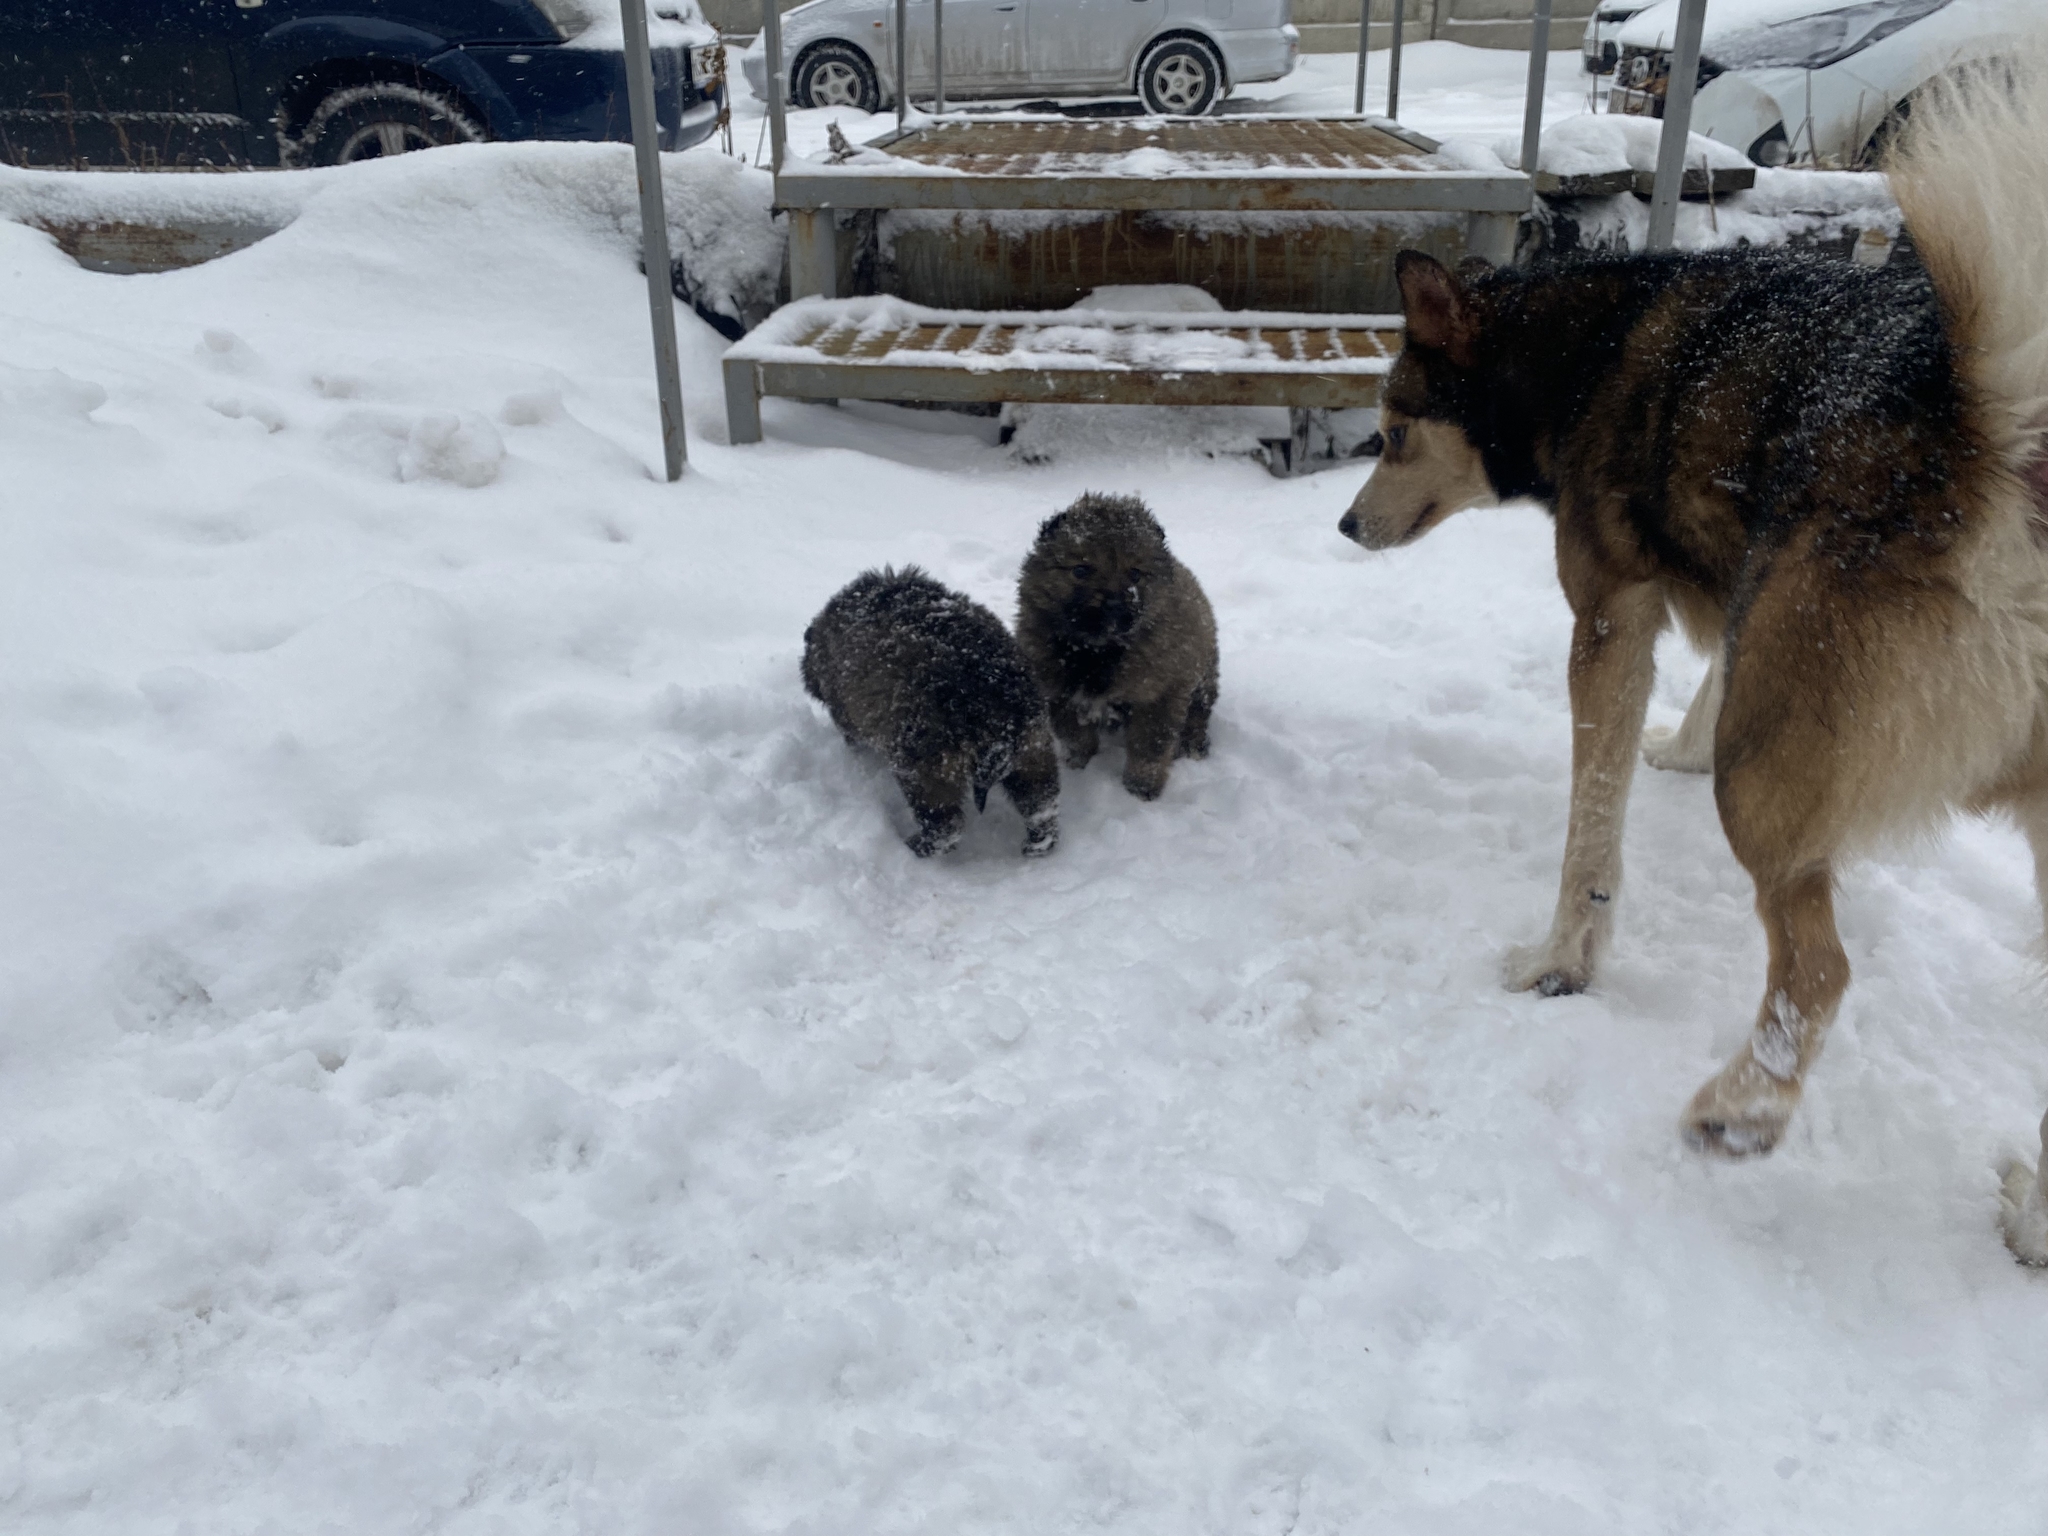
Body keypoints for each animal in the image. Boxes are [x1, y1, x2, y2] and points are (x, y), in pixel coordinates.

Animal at [798, 569, 1064, 860]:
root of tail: (991, 710)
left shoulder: (845, 711)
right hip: (1032, 748)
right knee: (1040, 802)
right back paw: (1038, 842)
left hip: (925, 768)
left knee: (946, 826)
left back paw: (917, 845)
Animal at [1011, 495, 1212, 806]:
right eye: (1080, 570)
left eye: (1135, 573)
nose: (1115, 607)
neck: (1095, 650)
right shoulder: (1057, 689)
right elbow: (1075, 734)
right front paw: (1080, 763)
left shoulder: (1163, 690)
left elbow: (1149, 745)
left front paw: (1141, 786)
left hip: (1203, 673)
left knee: (1199, 712)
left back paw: (1193, 745)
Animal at [1335, 57, 2048, 1261]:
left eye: (1390, 433)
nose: (1341, 525)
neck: (1581, 352)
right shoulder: (1745, 576)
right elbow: (1713, 675)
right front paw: (1674, 744)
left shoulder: (1609, 613)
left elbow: (1591, 830)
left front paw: (1561, 965)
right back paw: (2036, 1217)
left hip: (1763, 789)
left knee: (1818, 969)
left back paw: (1740, 1109)